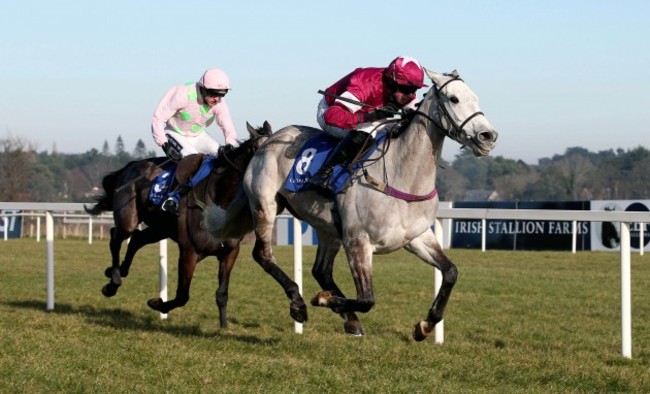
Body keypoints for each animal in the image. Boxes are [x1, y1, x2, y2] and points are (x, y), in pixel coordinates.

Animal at [85, 121, 270, 326]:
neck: (220, 200)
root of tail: (131, 165)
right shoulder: (189, 250)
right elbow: (182, 296)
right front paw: (157, 303)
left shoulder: (229, 252)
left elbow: (222, 293)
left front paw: (223, 326)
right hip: (129, 218)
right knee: (116, 237)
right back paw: (113, 282)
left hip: (160, 228)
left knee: (137, 239)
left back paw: (116, 271)